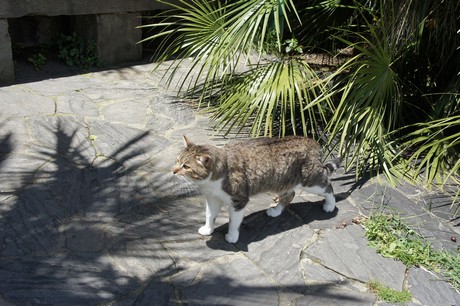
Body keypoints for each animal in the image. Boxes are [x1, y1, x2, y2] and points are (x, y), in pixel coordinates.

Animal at [172, 136, 342, 244]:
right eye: (177, 160)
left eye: (186, 166)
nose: (173, 171)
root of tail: (314, 142)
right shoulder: (213, 197)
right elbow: (209, 215)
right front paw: (208, 229)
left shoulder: (239, 200)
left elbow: (234, 221)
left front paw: (232, 236)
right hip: (281, 182)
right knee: (290, 194)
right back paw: (276, 211)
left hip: (310, 180)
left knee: (328, 186)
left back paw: (330, 205)